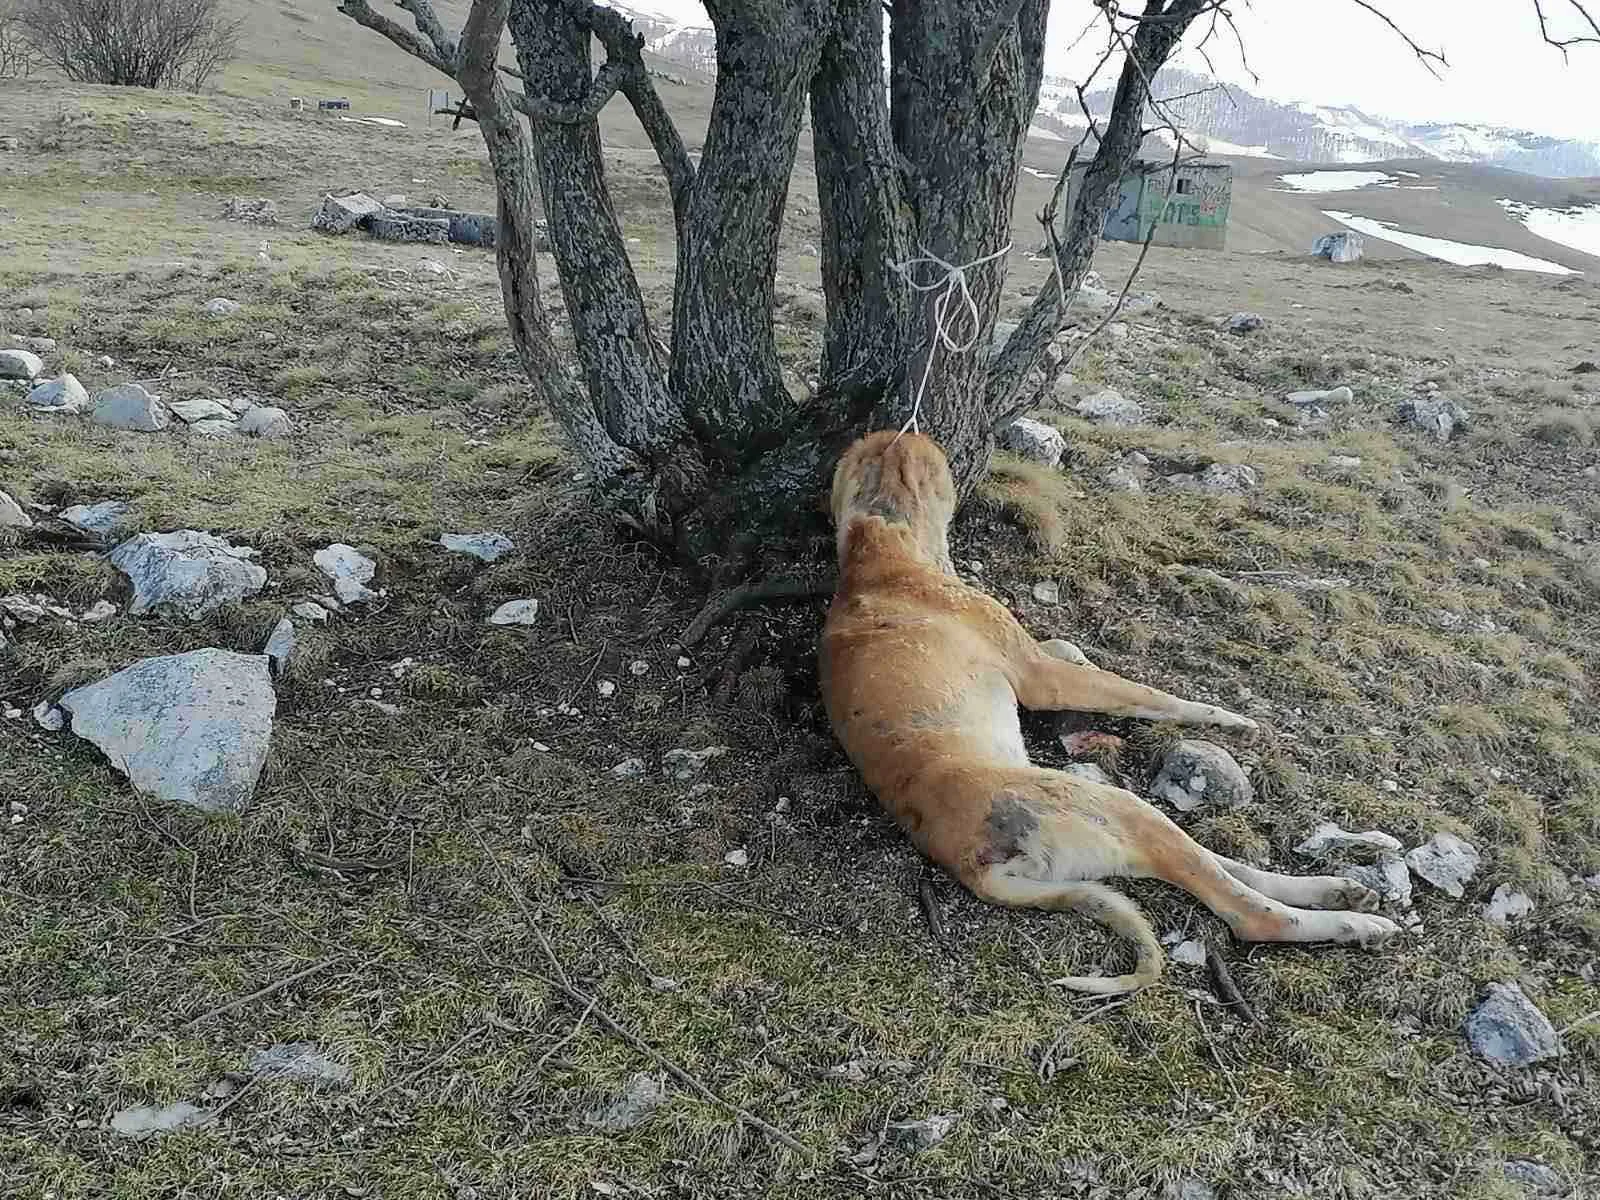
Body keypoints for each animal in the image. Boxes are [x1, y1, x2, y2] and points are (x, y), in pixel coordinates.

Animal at [819, 432, 1395, 998]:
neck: (880, 552)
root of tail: (969, 862)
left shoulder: (1034, 660)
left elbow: (1069, 649)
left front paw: (1082, 653)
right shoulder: (1039, 677)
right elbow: (1142, 692)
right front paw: (1223, 716)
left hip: (1122, 828)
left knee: (1221, 867)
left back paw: (1341, 892)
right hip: (1119, 809)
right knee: (1247, 911)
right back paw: (1354, 924)